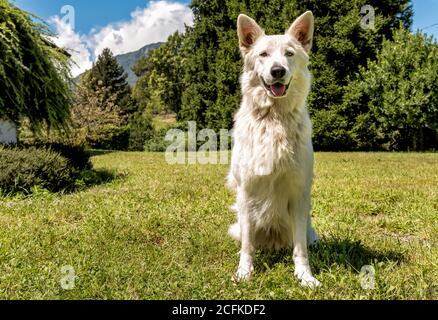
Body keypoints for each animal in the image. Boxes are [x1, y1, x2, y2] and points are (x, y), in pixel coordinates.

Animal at [228, 11, 320, 288]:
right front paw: (244, 272)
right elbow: (247, 247)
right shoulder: (246, 192)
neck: (274, 119)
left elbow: (300, 249)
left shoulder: (299, 194)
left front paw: (304, 276)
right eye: (264, 54)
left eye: (289, 53)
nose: (277, 71)